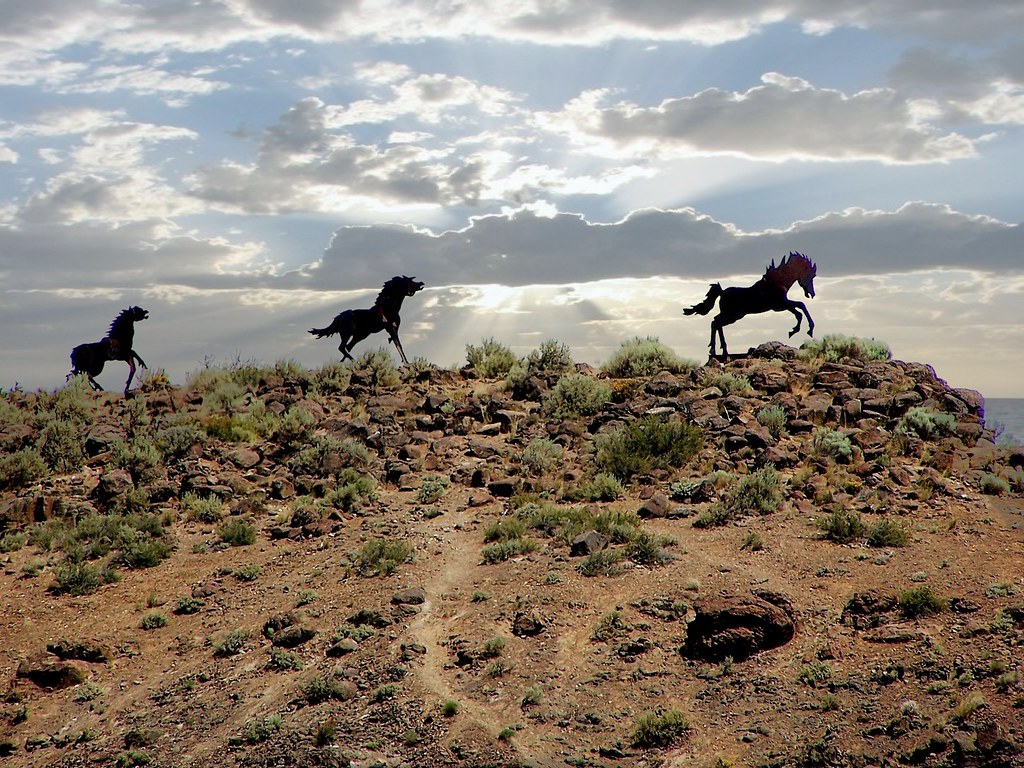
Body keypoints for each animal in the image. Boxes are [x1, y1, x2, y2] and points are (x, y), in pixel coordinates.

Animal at [683, 252, 817, 359]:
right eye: (810, 275)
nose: (812, 293)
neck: (777, 282)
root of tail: (722, 292)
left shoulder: (783, 305)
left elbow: (799, 311)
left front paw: (795, 330)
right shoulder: (780, 306)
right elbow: (801, 306)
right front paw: (806, 330)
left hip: (731, 315)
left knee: (715, 322)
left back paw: (720, 351)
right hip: (732, 315)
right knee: (716, 322)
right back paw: (717, 351)